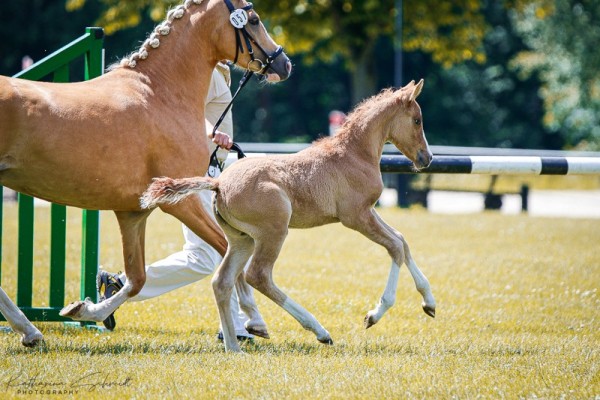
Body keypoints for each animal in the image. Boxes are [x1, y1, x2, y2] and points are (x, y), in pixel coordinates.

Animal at [0, 0, 290, 346]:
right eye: (255, 19)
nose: (284, 64)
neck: (159, 93)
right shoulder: (179, 202)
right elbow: (227, 251)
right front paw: (254, 319)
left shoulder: (133, 212)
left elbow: (136, 279)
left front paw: (87, 309)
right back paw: (28, 329)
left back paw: (29, 330)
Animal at [141, 79, 436, 352]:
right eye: (417, 120)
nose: (427, 158)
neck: (354, 154)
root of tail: (218, 183)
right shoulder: (357, 216)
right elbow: (395, 246)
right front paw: (374, 315)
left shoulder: (369, 212)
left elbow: (402, 240)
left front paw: (429, 304)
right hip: (274, 231)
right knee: (258, 275)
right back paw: (318, 330)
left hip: (242, 239)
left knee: (222, 281)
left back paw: (235, 347)